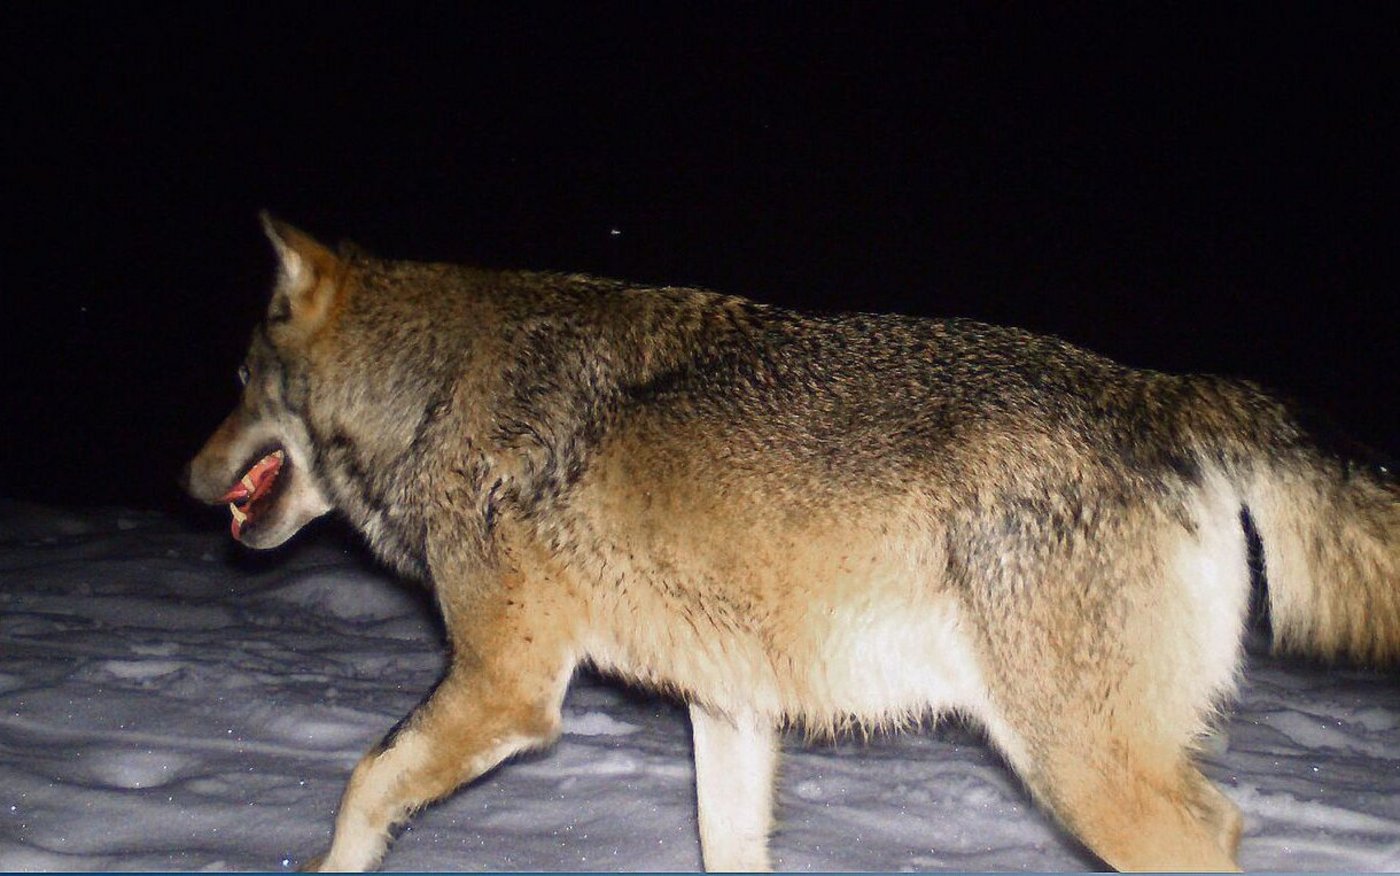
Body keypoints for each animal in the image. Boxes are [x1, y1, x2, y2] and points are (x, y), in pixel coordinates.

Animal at [183, 214, 1398, 871]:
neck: (432, 392)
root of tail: (1167, 394)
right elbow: (727, 848)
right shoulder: (729, 712)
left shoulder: (505, 689)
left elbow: (361, 785)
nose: (186, 478)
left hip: (1083, 776)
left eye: (238, 381)